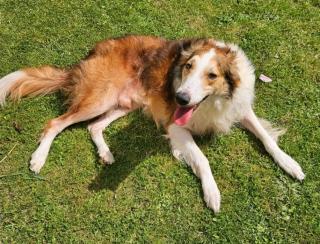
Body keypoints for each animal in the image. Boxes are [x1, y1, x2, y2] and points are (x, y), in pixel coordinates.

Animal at [0, 35, 304, 213]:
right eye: (188, 67)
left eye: (212, 75)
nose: (180, 98)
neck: (214, 102)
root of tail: (88, 55)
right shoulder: (175, 126)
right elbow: (202, 159)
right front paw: (212, 193)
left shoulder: (239, 107)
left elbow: (266, 137)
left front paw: (290, 164)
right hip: (100, 98)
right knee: (55, 122)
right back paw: (38, 159)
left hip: (125, 103)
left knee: (93, 127)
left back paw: (106, 154)